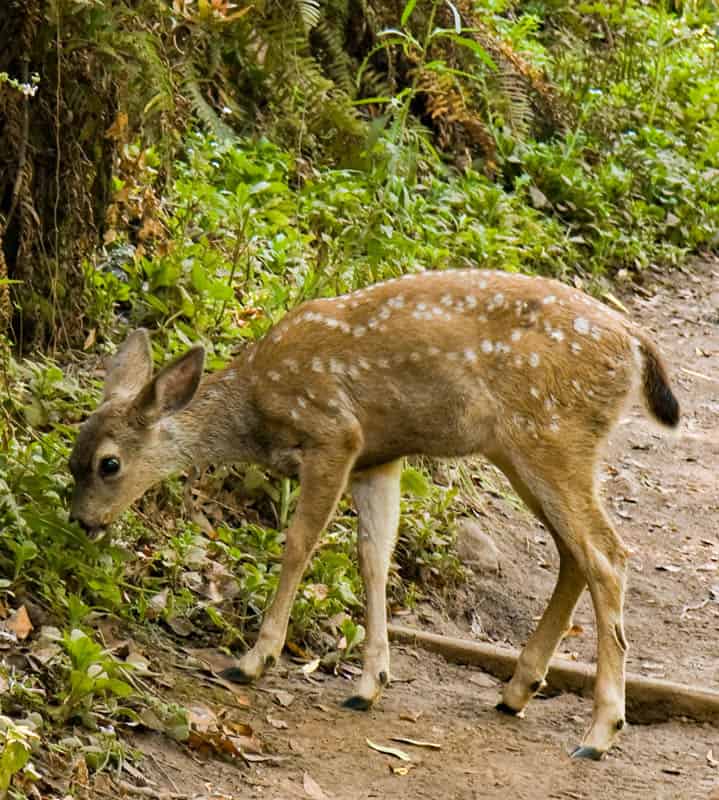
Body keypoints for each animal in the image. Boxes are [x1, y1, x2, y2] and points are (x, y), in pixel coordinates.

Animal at [67, 268, 680, 756]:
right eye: (72, 457)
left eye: (107, 464)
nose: (81, 522)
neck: (256, 409)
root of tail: (635, 342)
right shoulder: (377, 460)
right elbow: (374, 558)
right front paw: (370, 684)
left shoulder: (334, 433)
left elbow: (300, 544)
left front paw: (254, 659)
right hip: (525, 448)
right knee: (574, 554)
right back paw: (516, 692)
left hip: (550, 432)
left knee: (608, 554)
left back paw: (599, 732)